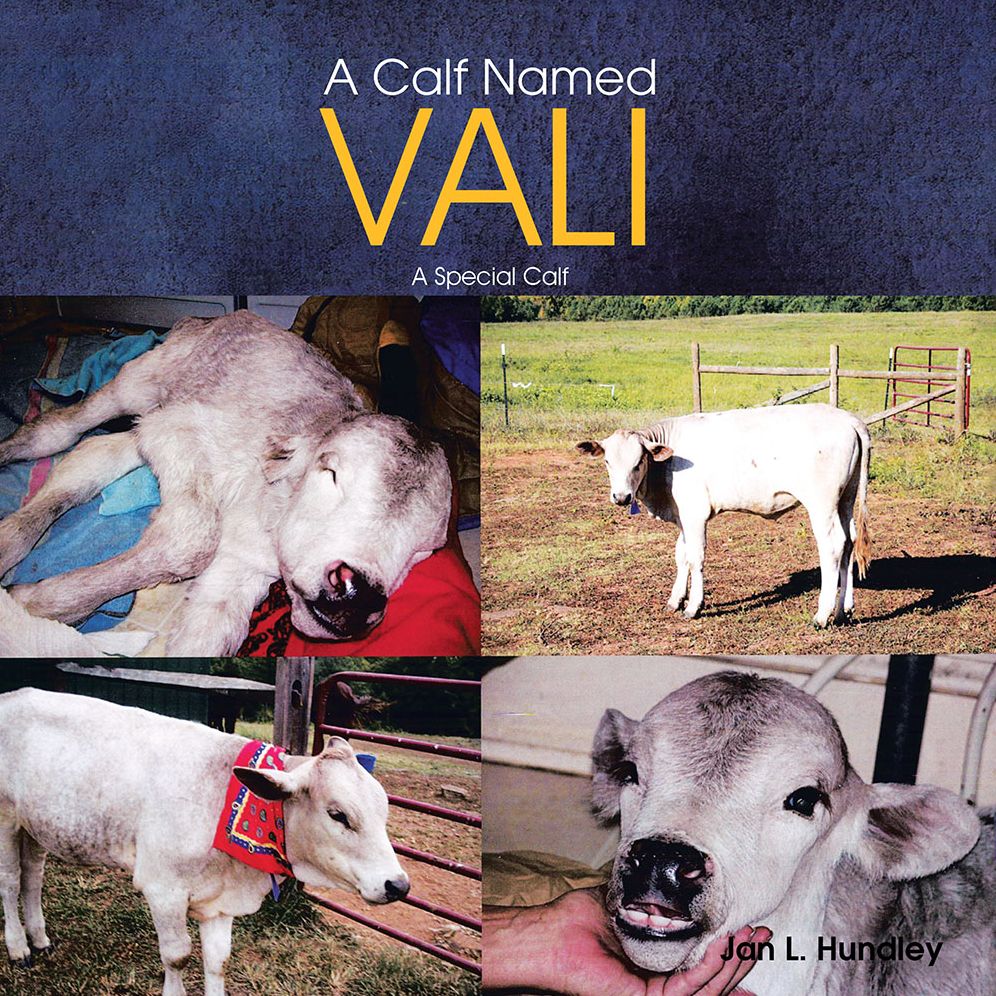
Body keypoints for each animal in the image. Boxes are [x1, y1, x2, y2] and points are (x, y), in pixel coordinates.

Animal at [0, 311, 451, 655]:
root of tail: (209, 319)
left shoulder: (239, 573)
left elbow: (206, 638)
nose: (356, 594)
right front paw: (35, 602)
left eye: (425, 550)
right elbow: (191, 539)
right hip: (142, 383)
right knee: (60, 430)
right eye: (332, 473)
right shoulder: (181, 429)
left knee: (94, 455)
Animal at [0, 687, 410, 996]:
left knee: (33, 876)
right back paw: (19, 947)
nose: (398, 885)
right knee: (11, 882)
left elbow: (218, 960)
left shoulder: (219, 902)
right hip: (5, 818)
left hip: (37, 824)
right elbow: (177, 955)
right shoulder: (162, 888)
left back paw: (40, 938)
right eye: (338, 814)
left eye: (384, 809)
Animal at [577, 404, 872, 626]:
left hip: (822, 503)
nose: (621, 497)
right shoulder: (682, 515)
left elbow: (695, 557)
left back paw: (822, 615)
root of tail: (849, 419)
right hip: (845, 499)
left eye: (639, 461)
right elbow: (681, 555)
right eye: (607, 461)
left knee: (832, 547)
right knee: (849, 542)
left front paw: (693, 606)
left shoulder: (694, 513)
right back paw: (843, 610)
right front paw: (675, 599)